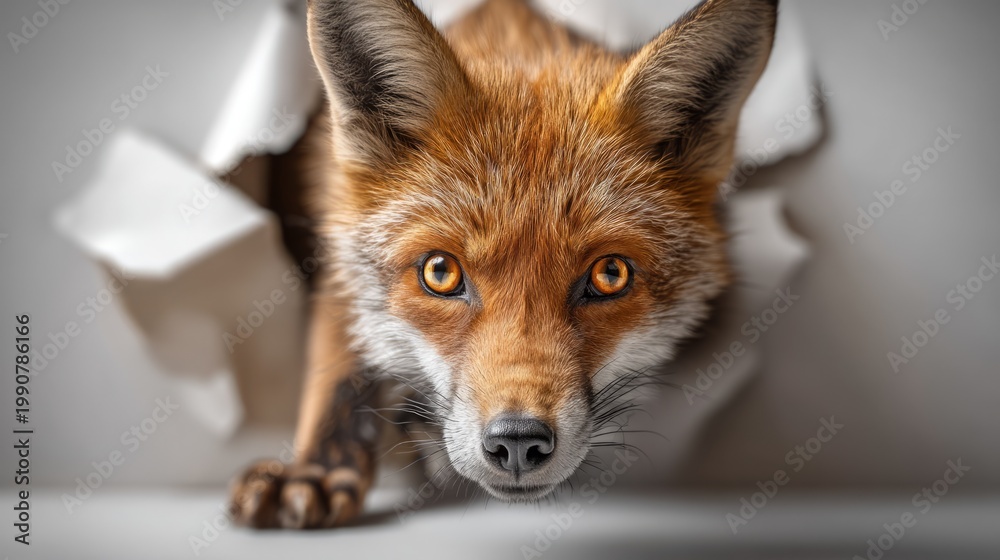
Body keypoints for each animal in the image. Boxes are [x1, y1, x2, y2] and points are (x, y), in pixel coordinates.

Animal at [229, 0, 778, 529]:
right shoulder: (338, 246)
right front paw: (314, 469)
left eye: (610, 275)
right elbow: (339, 369)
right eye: (440, 273)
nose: (517, 441)